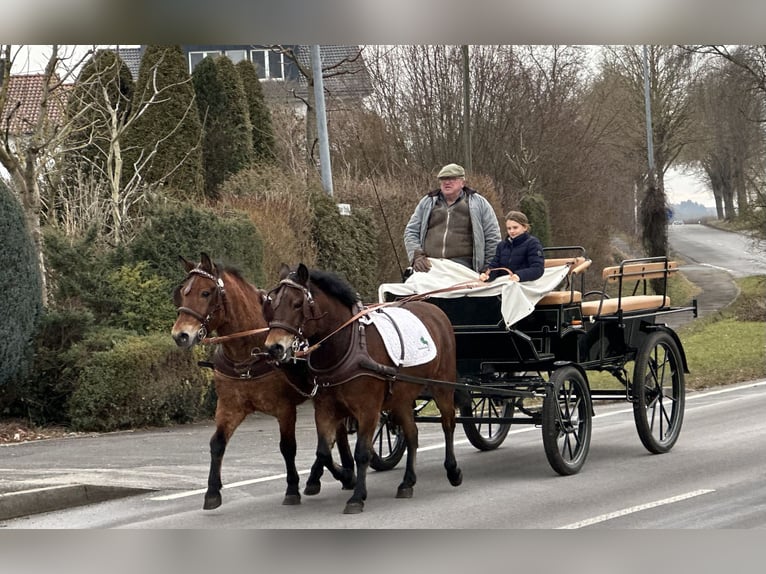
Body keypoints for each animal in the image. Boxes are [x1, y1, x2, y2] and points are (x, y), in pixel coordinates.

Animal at [170, 254, 356, 510]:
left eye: (206, 292)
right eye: (181, 293)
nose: (180, 335)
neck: (248, 352)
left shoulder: (284, 408)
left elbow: (288, 447)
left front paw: (292, 488)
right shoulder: (229, 407)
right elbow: (217, 443)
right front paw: (212, 492)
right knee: (335, 434)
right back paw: (337, 473)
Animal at [260, 264, 464, 516]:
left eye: (298, 304)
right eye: (272, 306)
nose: (273, 348)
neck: (347, 345)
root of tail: (433, 309)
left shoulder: (368, 410)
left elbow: (361, 453)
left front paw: (357, 496)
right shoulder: (325, 409)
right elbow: (323, 451)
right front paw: (340, 478)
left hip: (442, 385)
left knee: (448, 424)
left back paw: (453, 470)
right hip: (401, 398)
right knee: (412, 434)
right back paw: (407, 482)